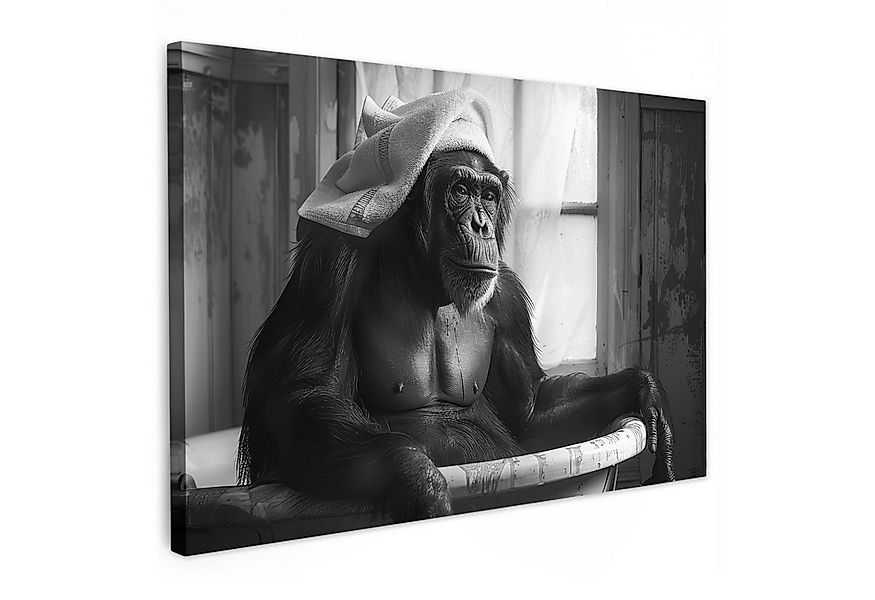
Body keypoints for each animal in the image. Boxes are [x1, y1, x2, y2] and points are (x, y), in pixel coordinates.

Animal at [237, 149, 675, 522]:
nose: (481, 223)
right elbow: (300, 395)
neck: (423, 275)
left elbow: (530, 411)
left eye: (489, 196)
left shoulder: (508, 300)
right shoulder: (330, 269)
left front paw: (645, 392)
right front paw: (419, 480)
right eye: (461, 191)